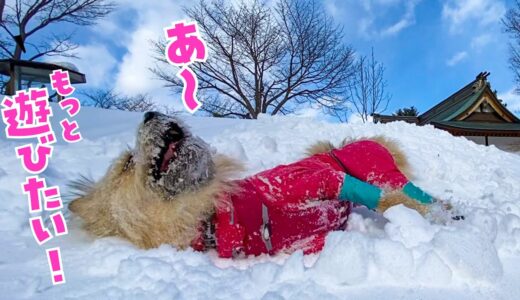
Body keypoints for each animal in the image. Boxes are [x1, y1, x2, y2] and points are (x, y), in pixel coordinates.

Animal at [69, 111, 440, 256]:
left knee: (403, 188)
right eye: (127, 164)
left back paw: (441, 209)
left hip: (372, 164)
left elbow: (384, 199)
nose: (149, 114)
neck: (212, 216)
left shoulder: (312, 179)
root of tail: (342, 144)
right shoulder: (305, 242)